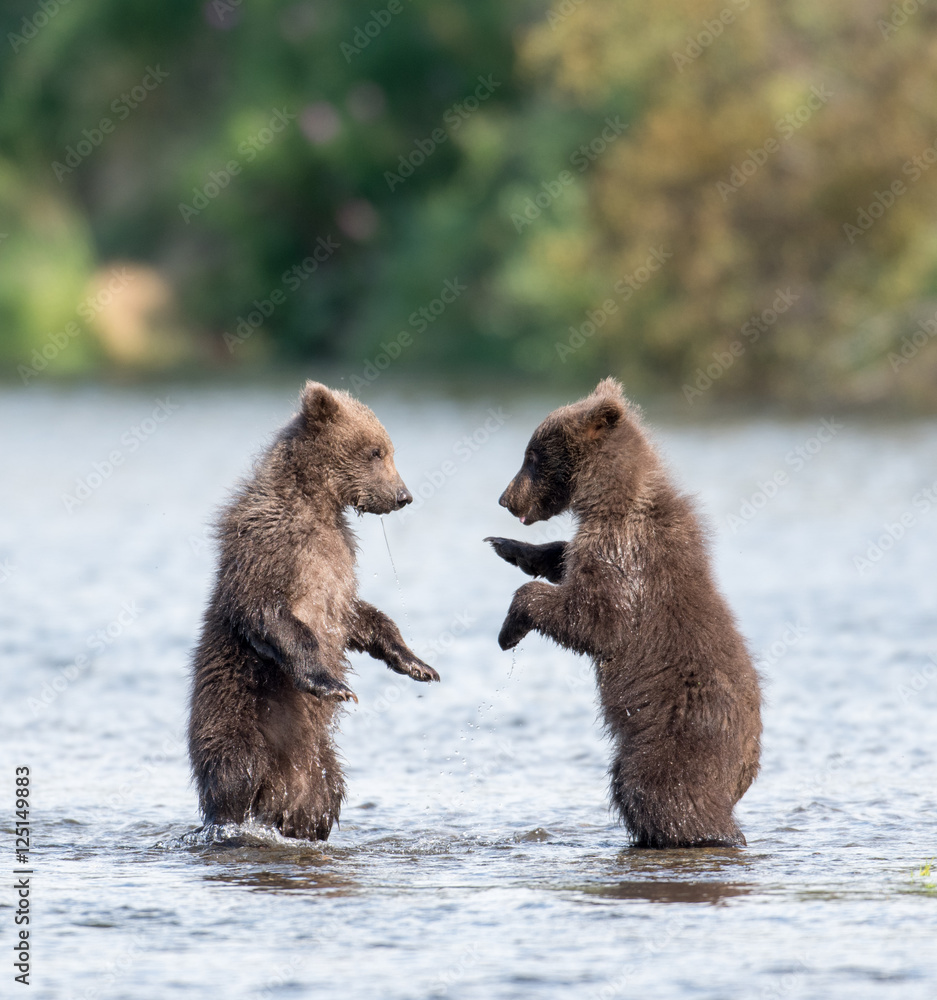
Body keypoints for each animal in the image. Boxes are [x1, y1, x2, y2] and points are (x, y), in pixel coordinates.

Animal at [188, 380, 439, 841]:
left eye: (388, 448)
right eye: (376, 451)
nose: (403, 496)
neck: (316, 503)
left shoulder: (338, 568)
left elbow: (362, 618)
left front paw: (418, 664)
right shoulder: (269, 547)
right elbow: (269, 613)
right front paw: (332, 684)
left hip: (319, 760)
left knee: (325, 797)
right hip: (236, 715)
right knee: (235, 773)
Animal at [486, 378, 761, 848]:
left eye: (533, 456)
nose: (506, 499)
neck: (610, 501)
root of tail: (747, 763)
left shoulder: (626, 557)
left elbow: (593, 621)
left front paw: (510, 628)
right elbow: (565, 559)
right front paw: (512, 548)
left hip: (678, 740)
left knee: (658, 792)